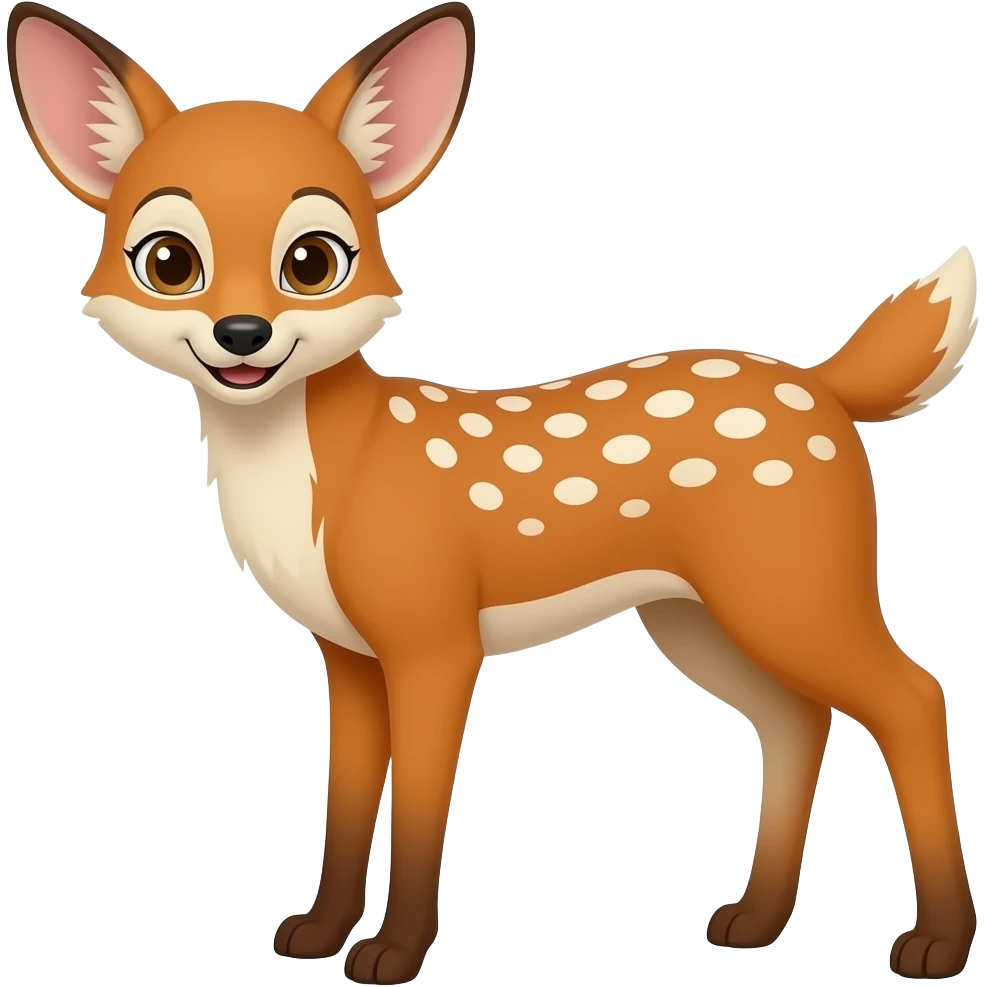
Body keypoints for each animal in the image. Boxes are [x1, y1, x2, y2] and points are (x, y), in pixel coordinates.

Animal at [5, 0, 979, 982]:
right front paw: (318, 933)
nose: (242, 333)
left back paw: (935, 941)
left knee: (911, 696)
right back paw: (755, 918)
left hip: (792, 588)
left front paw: (393, 952)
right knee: (796, 719)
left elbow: (420, 804)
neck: (330, 480)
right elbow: (346, 795)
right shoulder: (347, 653)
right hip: (696, 616)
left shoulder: (435, 638)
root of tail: (824, 385)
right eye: (168, 261)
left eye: (313, 261)